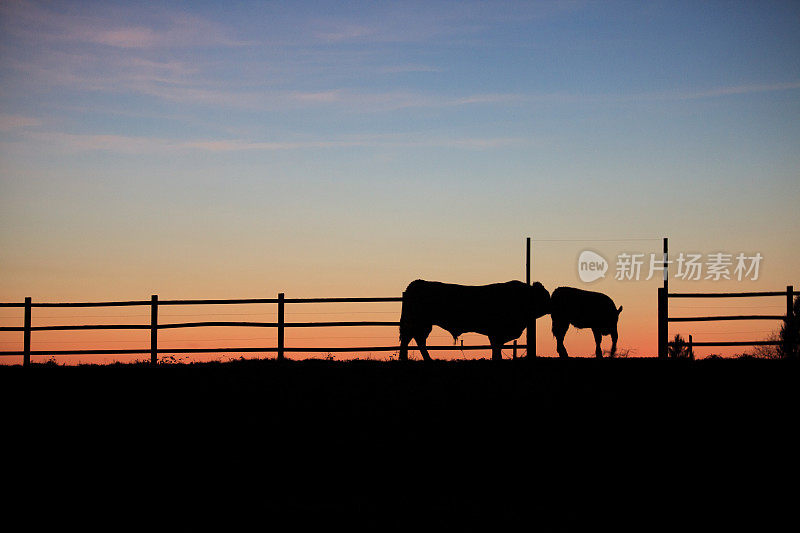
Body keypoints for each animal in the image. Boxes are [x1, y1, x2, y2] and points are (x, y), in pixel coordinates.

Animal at [400, 278, 552, 362]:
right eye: (545, 295)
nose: (552, 306)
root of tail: (417, 283)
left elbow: (496, 348)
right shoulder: (496, 332)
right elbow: (496, 348)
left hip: (422, 324)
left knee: (416, 340)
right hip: (419, 323)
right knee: (412, 339)